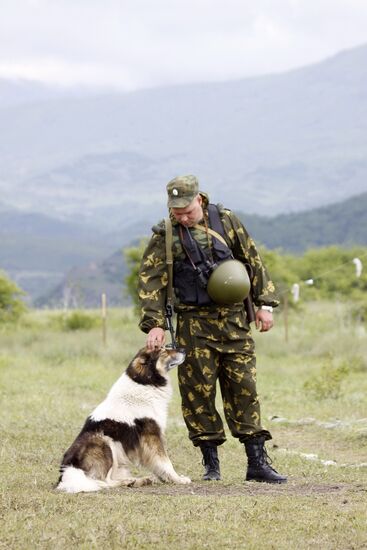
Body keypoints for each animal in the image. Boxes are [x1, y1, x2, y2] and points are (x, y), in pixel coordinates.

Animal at [56, 348, 193, 494]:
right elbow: (165, 462)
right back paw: (130, 481)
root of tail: (69, 471)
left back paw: (140, 480)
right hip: (105, 443)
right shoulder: (152, 436)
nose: (184, 349)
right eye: (163, 351)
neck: (145, 382)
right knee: (102, 481)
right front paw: (178, 479)